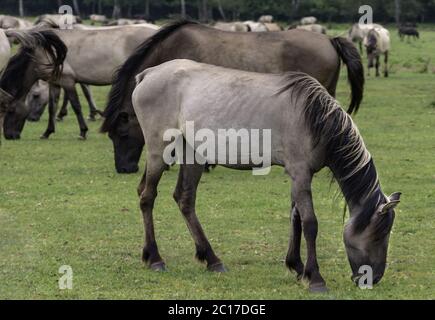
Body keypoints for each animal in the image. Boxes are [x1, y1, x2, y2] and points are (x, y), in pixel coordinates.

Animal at [0, 25, 157, 140]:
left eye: (10, 110)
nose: (10, 136)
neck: (47, 53)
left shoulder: (68, 81)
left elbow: (76, 106)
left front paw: (83, 131)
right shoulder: (55, 83)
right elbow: (52, 107)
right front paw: (47, 132)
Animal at [130, 58, 402, 292]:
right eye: (380, 234)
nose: (374, 277)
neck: (315, 118)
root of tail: (148, 74)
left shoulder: (298, 176)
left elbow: (296, 217)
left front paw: (297, 266)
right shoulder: (300, 173)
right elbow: (310, 222)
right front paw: (315, 278)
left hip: (193, 154)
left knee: (185, 199)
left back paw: (212, 259)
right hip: (159, 151)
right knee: (147, 196)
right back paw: (155, 258)